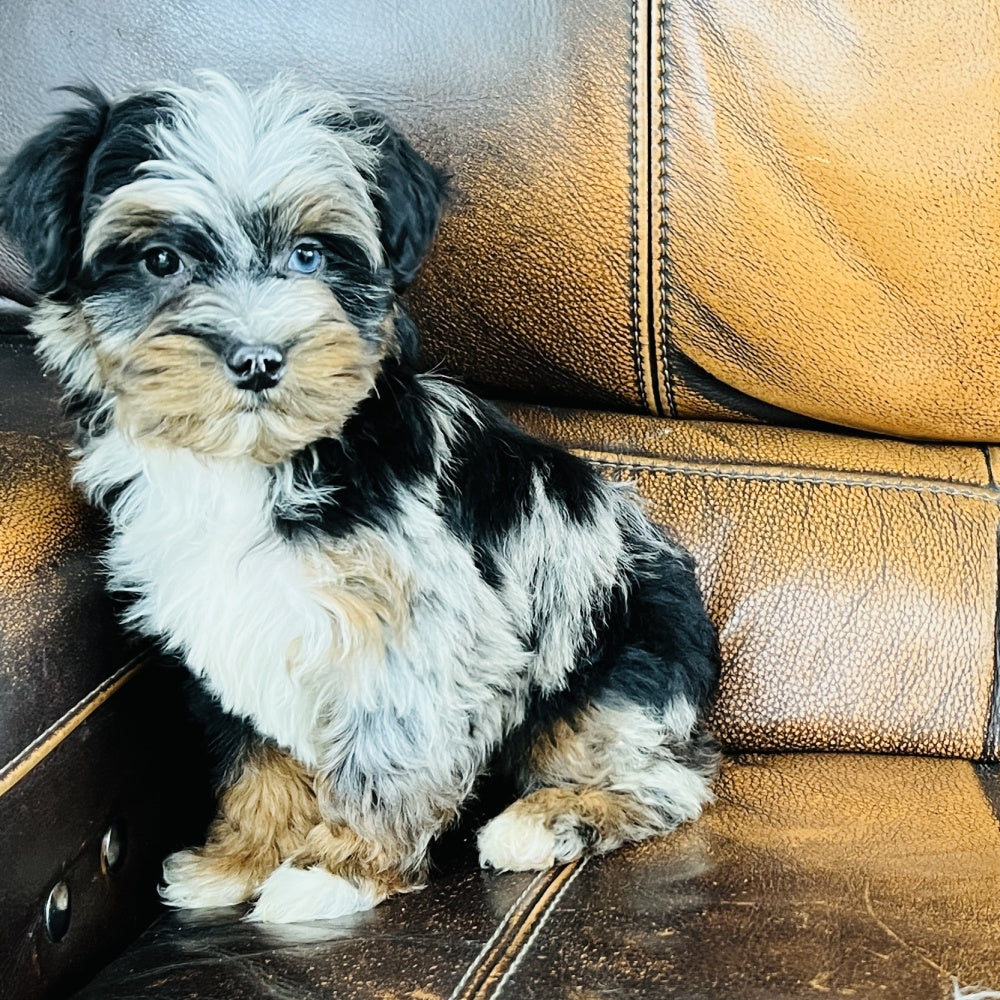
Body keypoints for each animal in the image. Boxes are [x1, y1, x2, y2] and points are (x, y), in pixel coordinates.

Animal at [0, 76, 720, 920]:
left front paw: (337, 868)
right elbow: (257, 750)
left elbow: (386, 744)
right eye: (159, 260)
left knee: (663, 781)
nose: (258, 359)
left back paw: (544, 822)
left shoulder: (416, 627)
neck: (258, 464)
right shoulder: (225, 620)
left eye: (310, 255)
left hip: (614, 666)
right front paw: (243, 856)